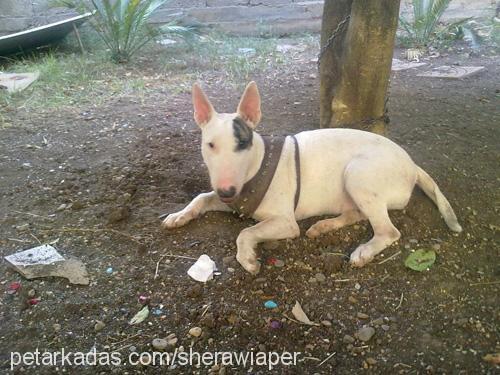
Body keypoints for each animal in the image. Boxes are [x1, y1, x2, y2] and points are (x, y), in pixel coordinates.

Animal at [162, 82, 462, 274]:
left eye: (243, 143)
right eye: (210, 145)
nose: (227, 191)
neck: (255, 167)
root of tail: (412, 164)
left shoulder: (285, 223)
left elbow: (246, 232)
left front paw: (247, 258)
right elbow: (202, 197)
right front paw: (179, 215)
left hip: (358, 174)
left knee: (388, 230)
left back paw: (362, 252)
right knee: (358, 214)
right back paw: (323, 226)